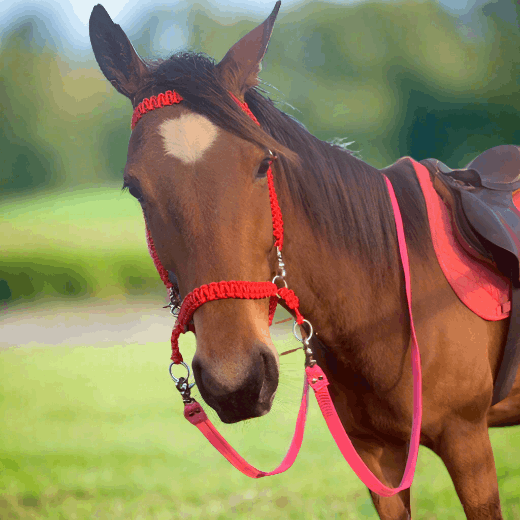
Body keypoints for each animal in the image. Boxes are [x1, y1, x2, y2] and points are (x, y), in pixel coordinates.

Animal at [89, 2, 520, 516]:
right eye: (135, 189)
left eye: (263, 164)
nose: (237, 382)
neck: (389, 298)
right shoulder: (378, 458)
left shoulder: (467, 441)